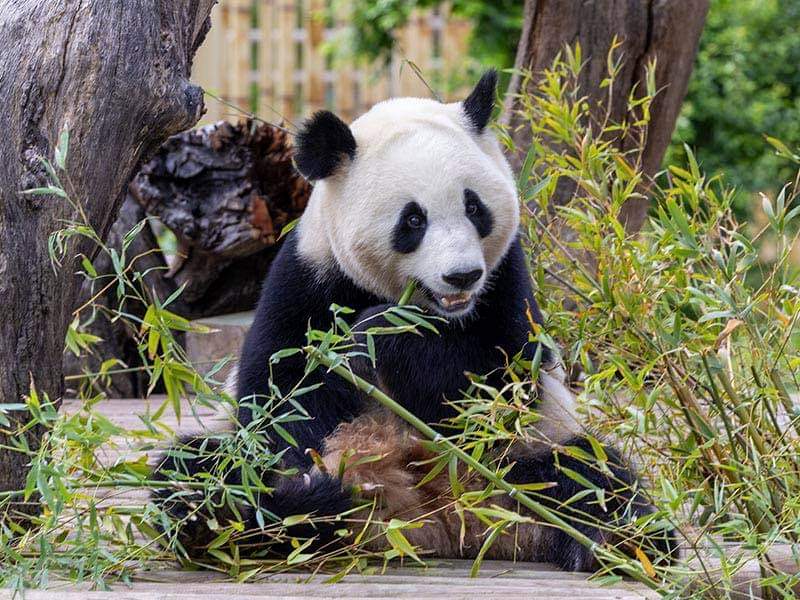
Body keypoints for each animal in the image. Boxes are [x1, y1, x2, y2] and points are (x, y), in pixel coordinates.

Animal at [153, 70, 680, 572]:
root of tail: (435, 520)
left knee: (590, 477)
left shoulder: (506, 279)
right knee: (196, 470)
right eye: (412, 220)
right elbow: (280, 394)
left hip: (519, 459)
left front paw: (381, 333)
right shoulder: (306, 274)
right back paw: (270, 512)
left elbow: (500, 384)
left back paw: (623, 544)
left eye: (474, 206)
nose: (462, 275)